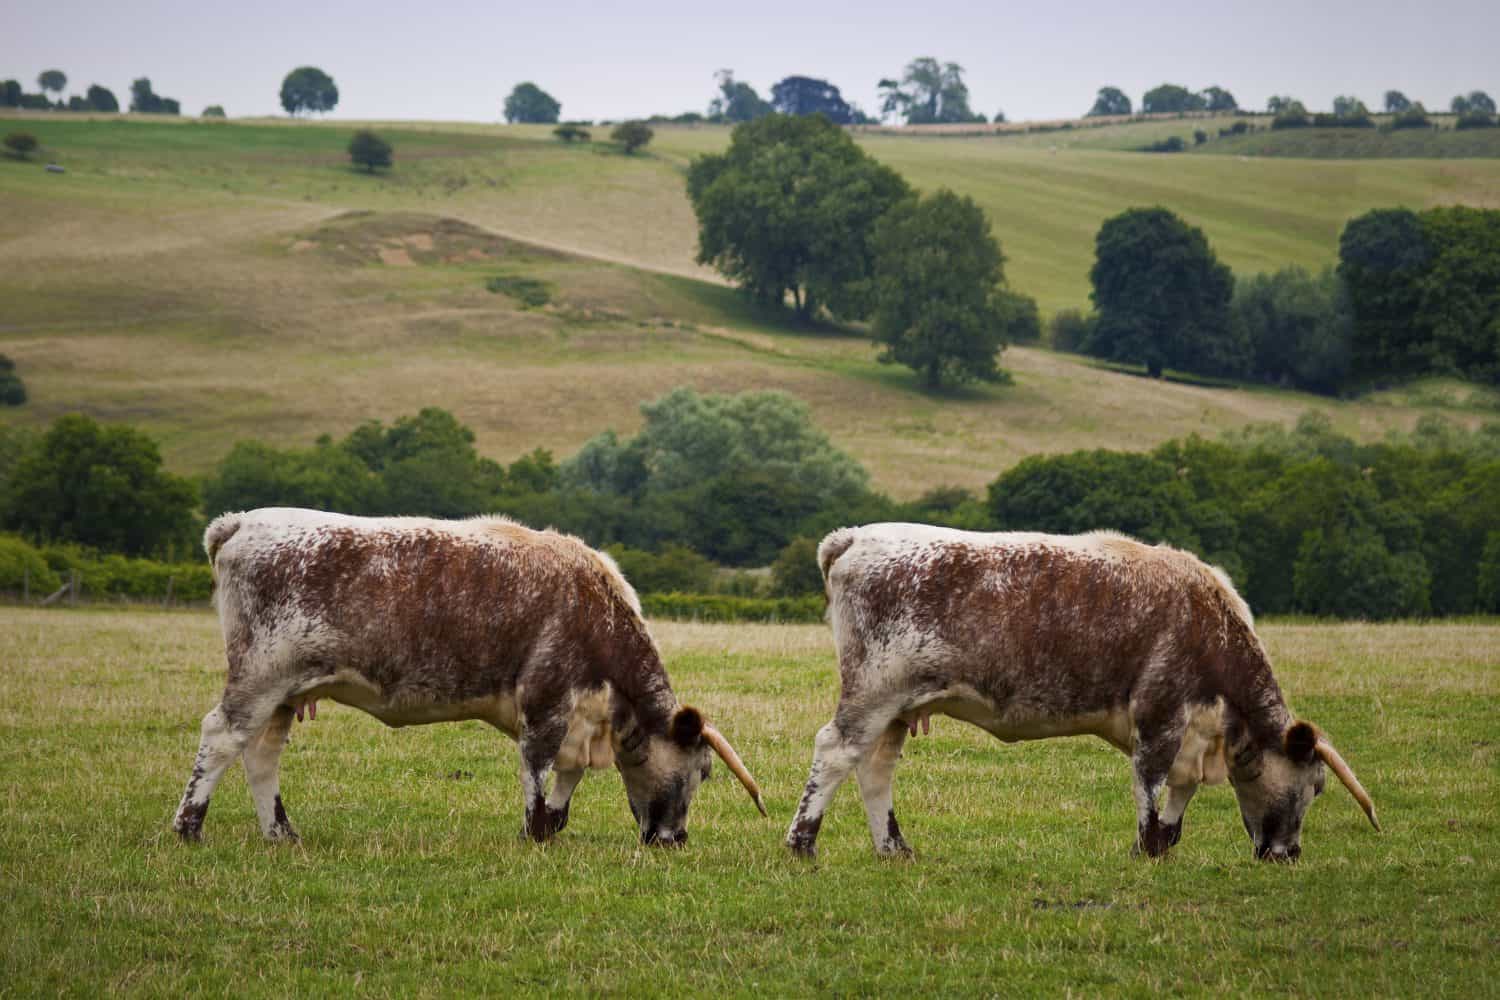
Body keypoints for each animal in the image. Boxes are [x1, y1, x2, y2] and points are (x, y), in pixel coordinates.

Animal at [173, 508, 765, 847]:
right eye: (704, 771)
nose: (675, 839)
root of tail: (241, 521)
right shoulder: (546, 700)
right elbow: (537, 769)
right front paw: (534, 833)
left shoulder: (578, 716)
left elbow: (567, 776)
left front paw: (553, 823)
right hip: (261, 674)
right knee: (221, 736)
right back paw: (189, 827)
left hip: (285, 692)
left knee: (261, 752)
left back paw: (281, 833)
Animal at [786, 523, 1379, 862]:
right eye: (1316, 787)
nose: (1289, 854)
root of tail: (854, 536)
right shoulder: (1160, 712)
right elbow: (1150, 782)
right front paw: (1147, 848)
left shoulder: (1190, 730)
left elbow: (1180, 788)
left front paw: (1166, 841)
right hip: (874, 690)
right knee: (835, 751)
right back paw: (802, 843)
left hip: (899, 706)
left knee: (875, 767)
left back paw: (894, 848)